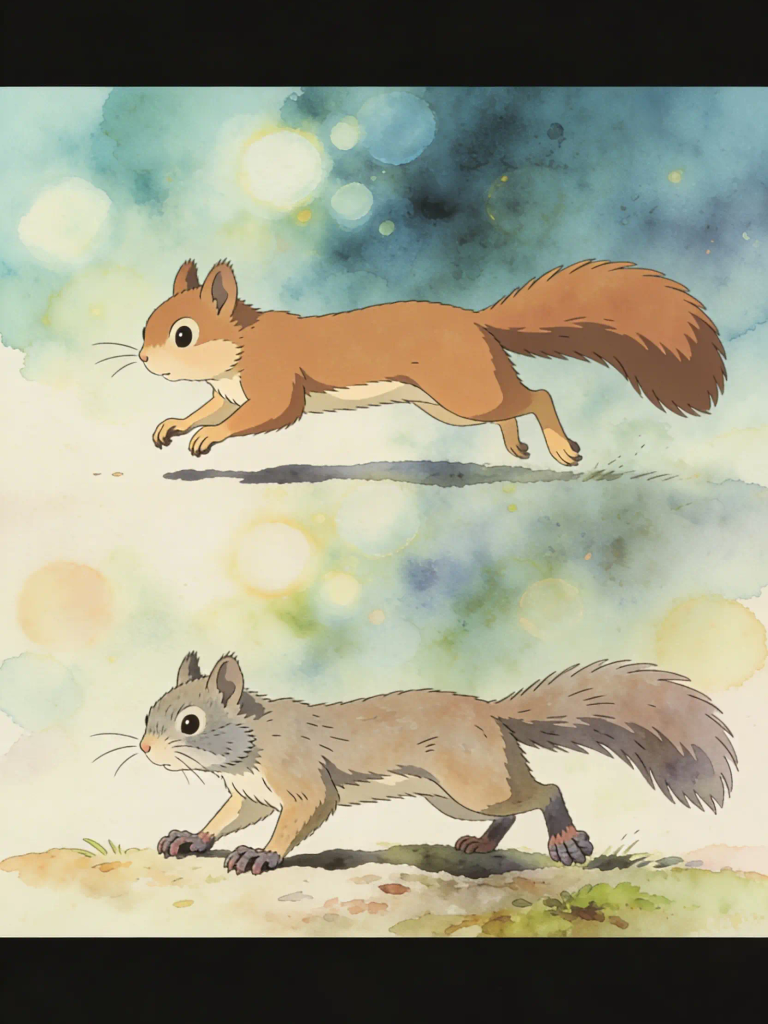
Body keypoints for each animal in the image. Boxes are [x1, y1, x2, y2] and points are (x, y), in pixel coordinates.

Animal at [139, 258, 726, 467]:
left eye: (183, 335)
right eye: (148, 325)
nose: (143, 358)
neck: (239, 348)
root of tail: (474, 321)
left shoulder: (275, 382)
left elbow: (265, 414)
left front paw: (207, 439)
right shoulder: (225, 392)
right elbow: (209, 409)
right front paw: (173, 425)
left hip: (464, 390)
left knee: (538, 396)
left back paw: (560, 447)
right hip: (451, 405)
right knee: (514, 404)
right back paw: (516, 445)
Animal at [140, 652, 736, 875]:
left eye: (189, 723)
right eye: (150, 712)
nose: (144, 750)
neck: (252, 743)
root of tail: (491, 713)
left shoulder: (301, 779)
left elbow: (301, 815)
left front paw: (261, 854)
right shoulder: (250, 794)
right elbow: (225, 818)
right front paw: (189, 838)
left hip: (475, 783)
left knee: (546, 790)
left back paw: (566, 840)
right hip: (452, 800)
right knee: (512, 808)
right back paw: (483, 844)